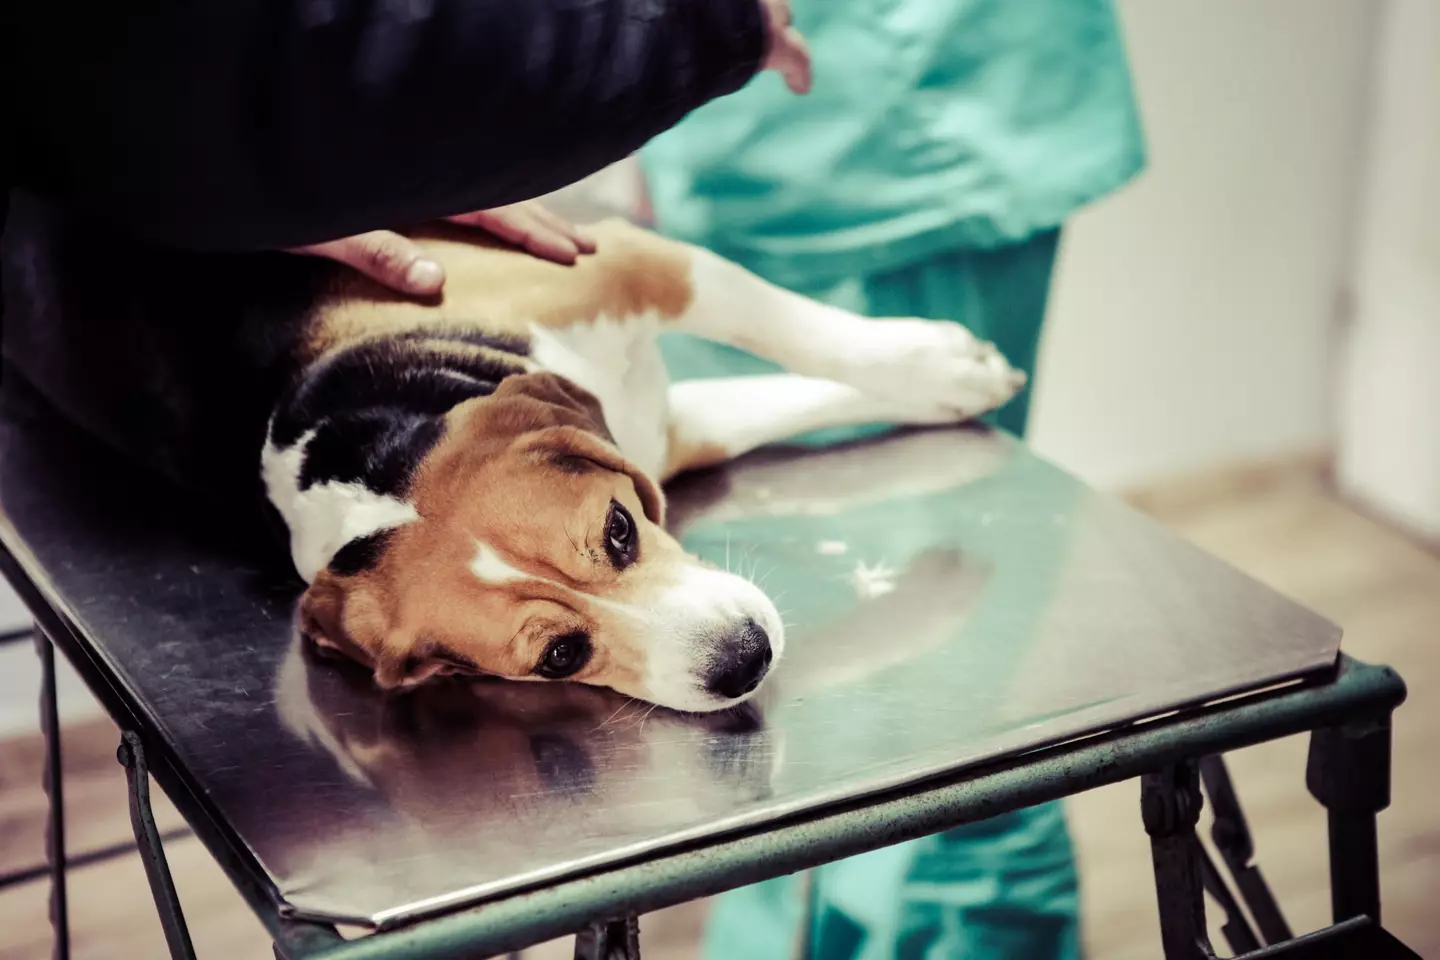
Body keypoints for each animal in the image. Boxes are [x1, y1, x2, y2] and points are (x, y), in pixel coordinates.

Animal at [0, 202, 1025, 713]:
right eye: (563, 655)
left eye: (619, 533)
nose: (743, 659)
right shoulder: (658, 428)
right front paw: (954, 373)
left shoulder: (627, 266)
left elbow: (789, 332)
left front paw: (941, 366)